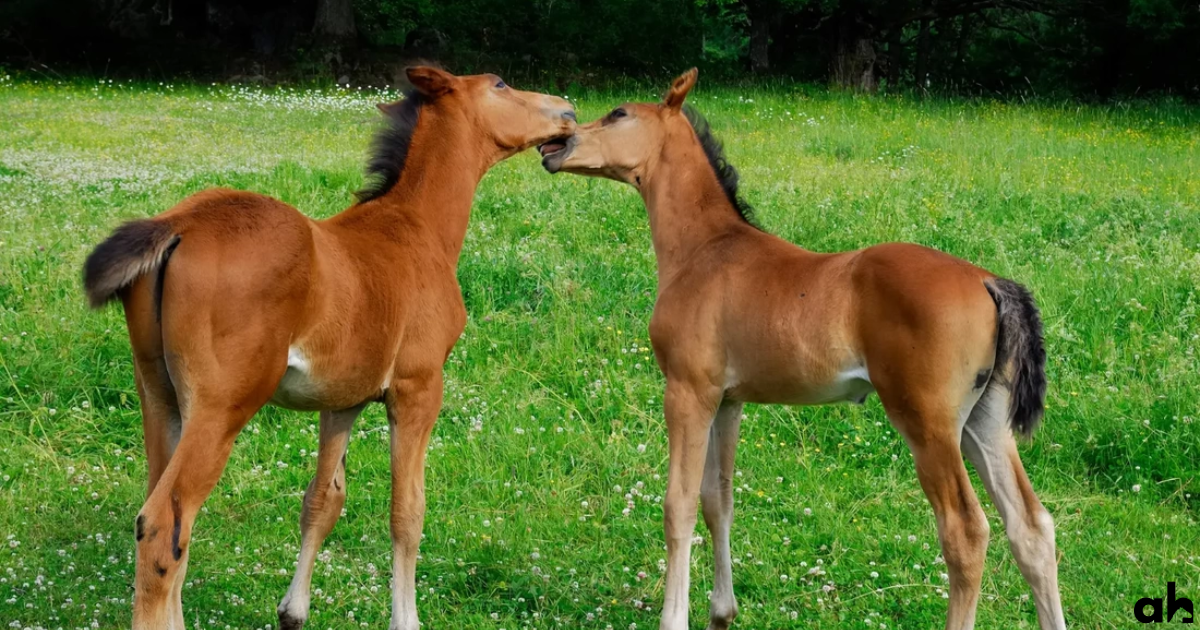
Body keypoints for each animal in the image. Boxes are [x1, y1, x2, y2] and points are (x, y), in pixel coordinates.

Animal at [83, 66, 575, 630]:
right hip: (220, 406)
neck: (416, 228)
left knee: (164, 523)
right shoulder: (418, 389)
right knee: (166, 526)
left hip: (159, 395)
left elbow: (322, 500)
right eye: (498, 85)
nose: (567, 111)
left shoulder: (343, 400)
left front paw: (293, 610)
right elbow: (407, 510)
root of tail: (176, 225)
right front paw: (405, 617)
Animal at [542, 69, 1064, 630]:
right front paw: (722, 612)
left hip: (928, 423)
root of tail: (989, 281)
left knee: (965, 531)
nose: (555, 145)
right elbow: (717, 499)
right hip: (985, 421)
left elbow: (677, 506)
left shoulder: (687, 392)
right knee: (1032, 528)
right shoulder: (728, 400)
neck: (705, 249)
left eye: (618, 113)